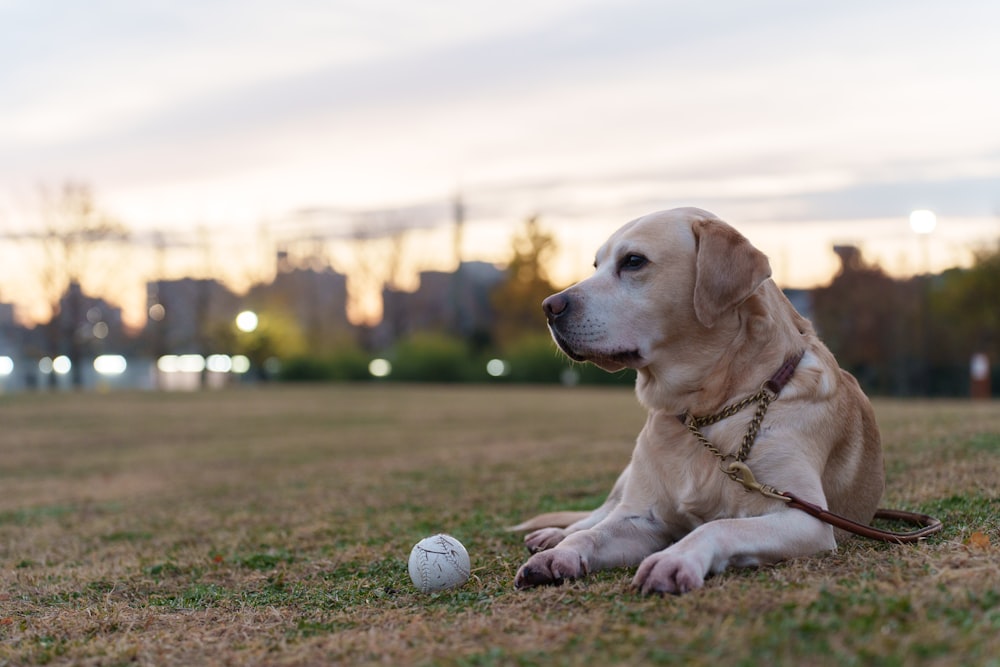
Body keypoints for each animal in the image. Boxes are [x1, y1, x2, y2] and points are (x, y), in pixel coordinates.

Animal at [516, 209, 884, 596]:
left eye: (633, 261)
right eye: (596, 265)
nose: (549, 306)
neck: (705, 409)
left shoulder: (805, 517)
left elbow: (720, 525)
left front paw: (674, 559)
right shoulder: (641, 517)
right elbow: (592, 535)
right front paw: (560, 554)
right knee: (595, 516)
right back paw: (553, 536)